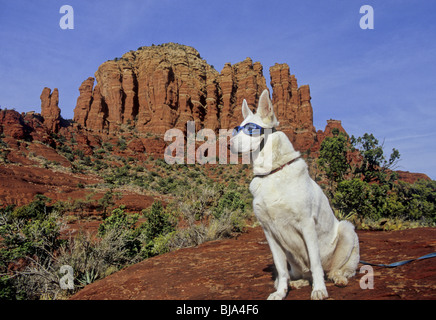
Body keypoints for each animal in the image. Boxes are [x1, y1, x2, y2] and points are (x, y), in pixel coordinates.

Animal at [230, 90, 360, 300]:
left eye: (250, 128)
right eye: (237, 129)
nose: (228, 144)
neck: (271, 174)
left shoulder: (306, 224)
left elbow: (315, 262)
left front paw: (319, 290)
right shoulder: (269, 231)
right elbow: (281, 268)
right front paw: (280, 292)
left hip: (347, 230)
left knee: (337, 269)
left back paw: (337, 278)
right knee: (302, 273)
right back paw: (297, 282)